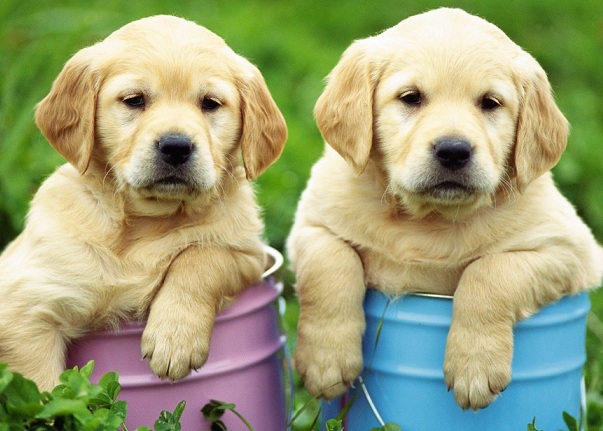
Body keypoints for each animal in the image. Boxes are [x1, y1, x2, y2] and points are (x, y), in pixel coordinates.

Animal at [0, 15, 288, 392]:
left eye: (210, 103)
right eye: (134, 100)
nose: (176, 146)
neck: (145, 220)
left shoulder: (248, 252)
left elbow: (202, 255)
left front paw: (175, 338)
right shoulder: (26, 305)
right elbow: (42, 390)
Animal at [288, 6, 603, 431]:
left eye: (490, 103)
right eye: (411, 98)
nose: (454, 150)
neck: (427, 218)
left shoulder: (570, 249)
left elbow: (490, 271)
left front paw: (474, 368)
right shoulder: (311, 223)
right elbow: (331, 262)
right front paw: (326, 360)